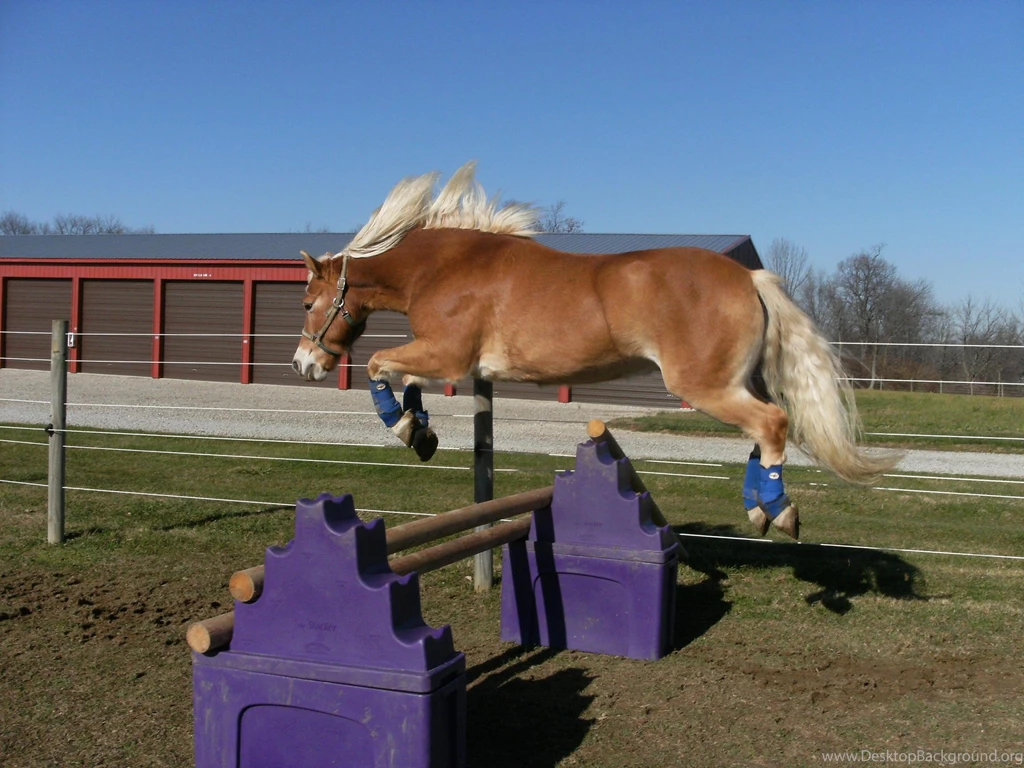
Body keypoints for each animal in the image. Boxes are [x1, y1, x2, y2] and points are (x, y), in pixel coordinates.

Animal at [292, 162, 898, 539]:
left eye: (307, 301)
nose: (304, 364)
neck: (444, 265)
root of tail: (749, 277)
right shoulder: (443, 359)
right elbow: (408, 381)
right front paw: (420, 432)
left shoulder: (448, 355)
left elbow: (379, 366)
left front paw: (401, 426)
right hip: (735, 382)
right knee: (765, 430)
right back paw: (757, 510)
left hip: (704, 386)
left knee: (772, 424)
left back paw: (779, 511)